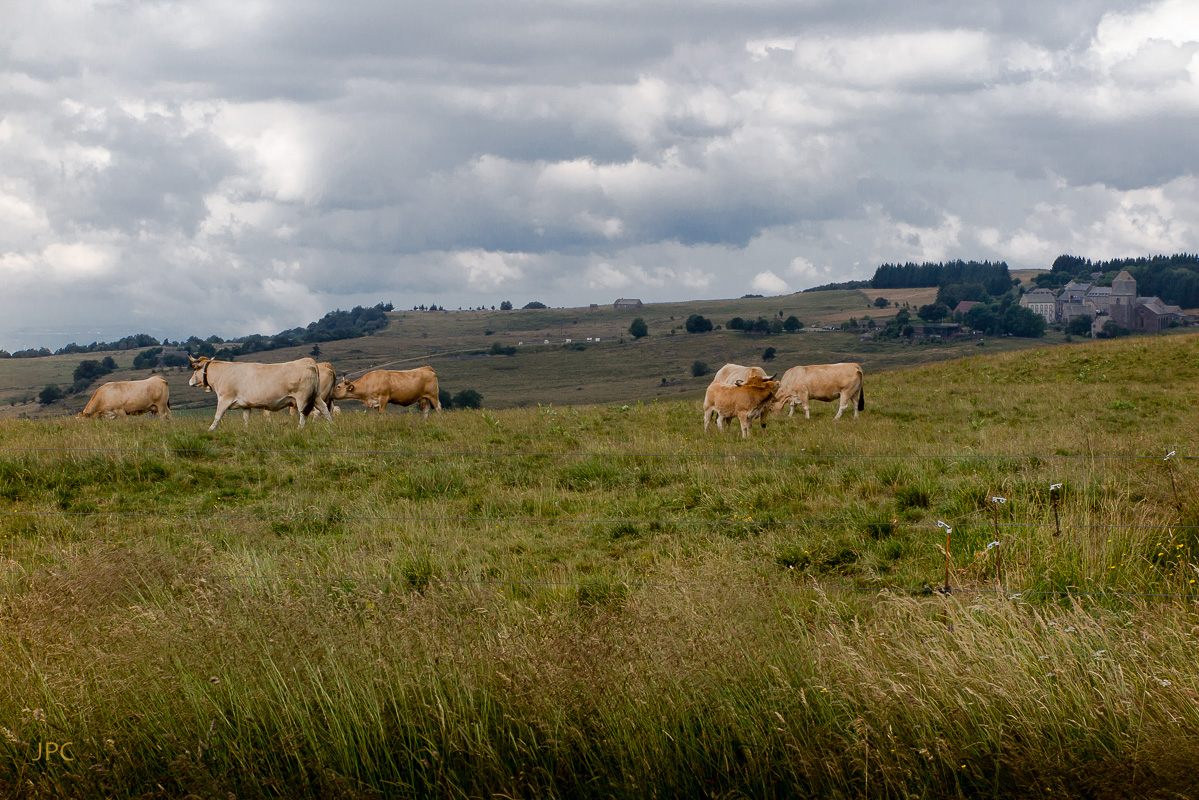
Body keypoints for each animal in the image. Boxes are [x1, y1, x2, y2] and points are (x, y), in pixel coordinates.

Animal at [190, 357, 333, 431]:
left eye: (195, 369)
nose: (190, 381)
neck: (223, 372)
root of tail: (307, 361)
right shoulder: (246, 404)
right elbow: (246, 418)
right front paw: (246, 430)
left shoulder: (224, 398)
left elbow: (217, 416)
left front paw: (210, 430)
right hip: (316, 396)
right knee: (324, 409)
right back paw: (332, 426)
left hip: (303, 398)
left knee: (304, 414)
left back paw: (299, 429)